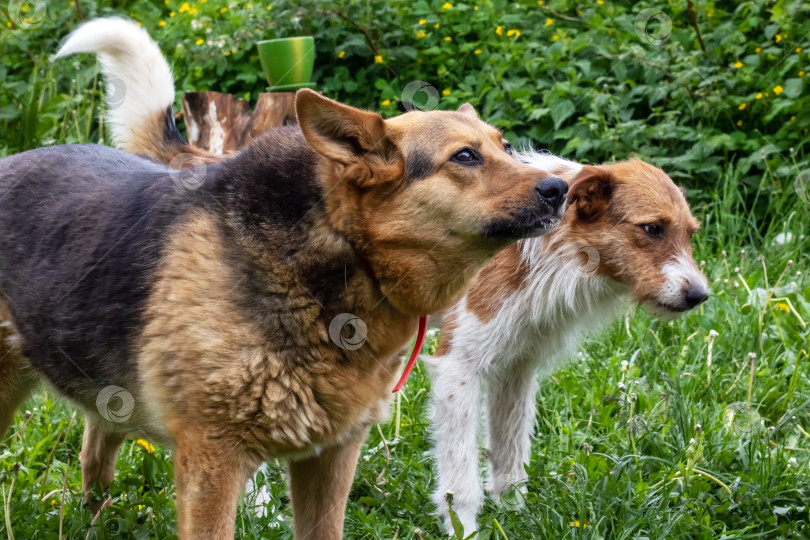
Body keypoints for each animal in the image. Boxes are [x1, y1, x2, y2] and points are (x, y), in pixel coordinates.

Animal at [0, 16, 568, 540]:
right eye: (464, 156)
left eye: (504, 147)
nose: (560, 189)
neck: (343, 256)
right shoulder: (213, 461)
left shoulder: (331, 454)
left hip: (107, 392)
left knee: (94, 456)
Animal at [422, 152, 708, 532]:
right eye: (653, 228)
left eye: (690, 234)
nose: (700, 296)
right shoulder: (457, 369)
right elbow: (460, 479)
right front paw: (463, 528)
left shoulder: (516, 369)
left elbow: (511, 451)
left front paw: (513, 510)